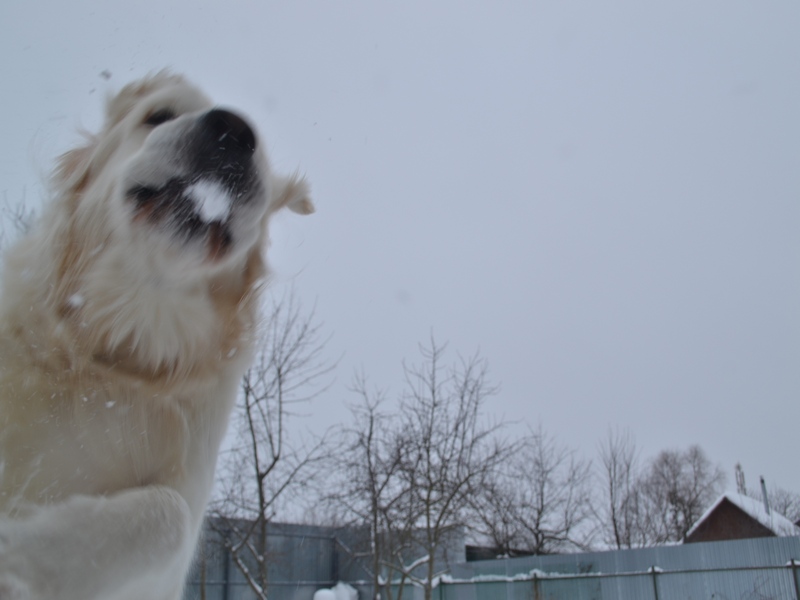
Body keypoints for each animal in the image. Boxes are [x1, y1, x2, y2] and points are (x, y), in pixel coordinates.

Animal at [0, 72, 314, 599]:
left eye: (261, 157)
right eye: (159, 115)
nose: (232, 131)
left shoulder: (176, 522)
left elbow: (167, 514)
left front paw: (13, 563)